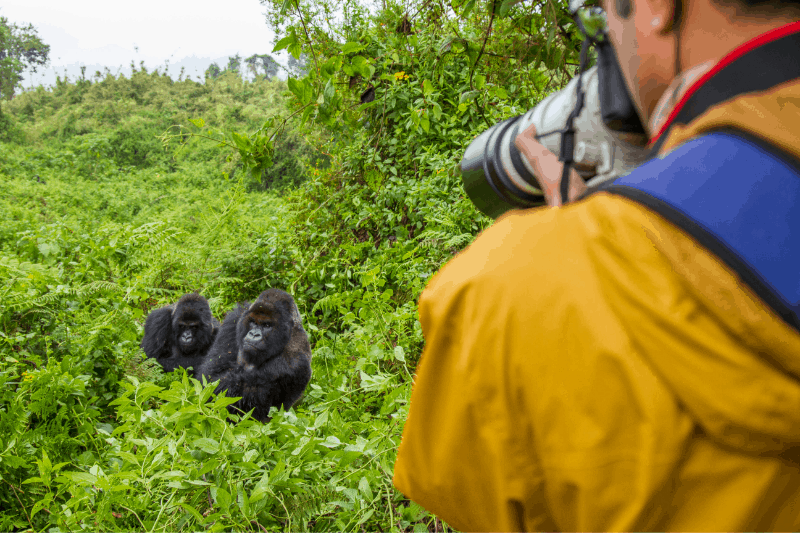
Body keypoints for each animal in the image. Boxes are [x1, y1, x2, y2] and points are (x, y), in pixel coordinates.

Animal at [198, 288, 310, 422]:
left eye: (267, 325)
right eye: (253, 322)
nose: (254, 334)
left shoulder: (295, 358)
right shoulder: (235, 319)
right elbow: (212, 376)